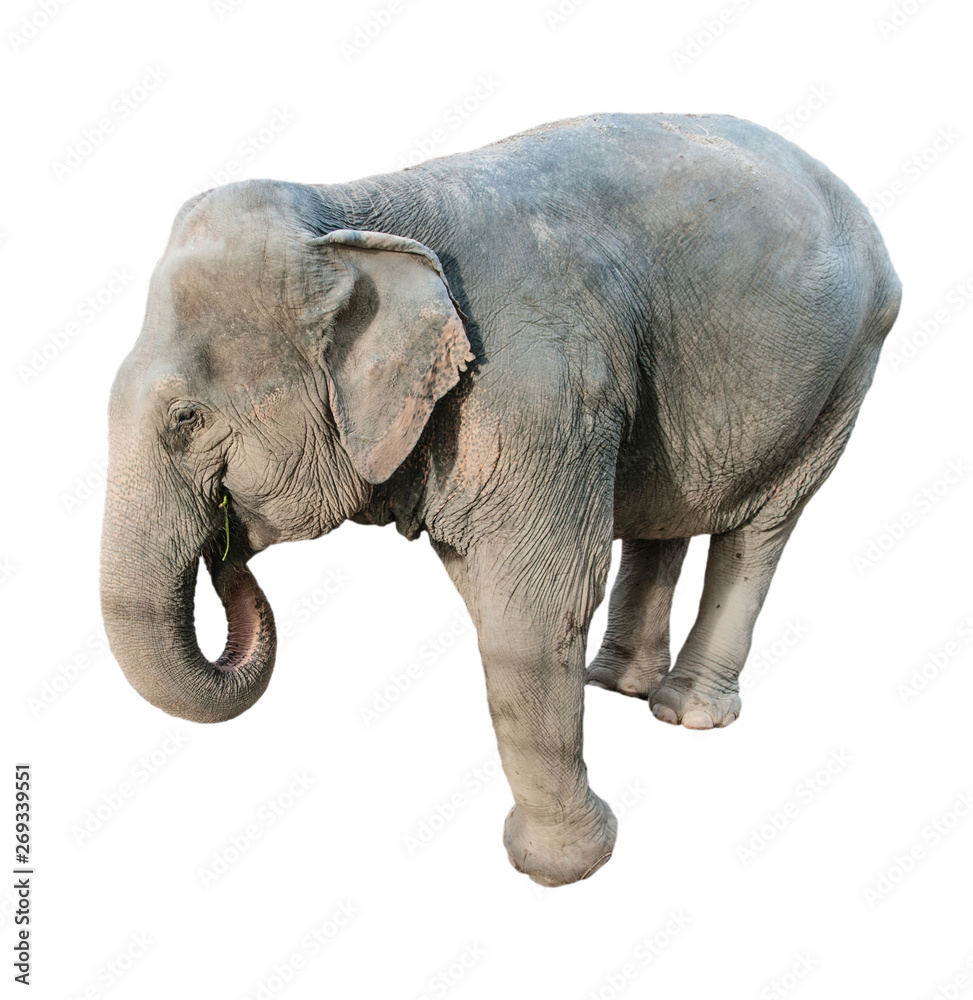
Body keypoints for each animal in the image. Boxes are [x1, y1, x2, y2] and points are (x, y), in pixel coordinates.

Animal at [101, 112, 901, 886]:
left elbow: (536, 603)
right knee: (660, 513)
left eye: (186, 419)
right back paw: (615, 684)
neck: (352, 208)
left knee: (762, 530)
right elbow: (488, 590)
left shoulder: (537, 388)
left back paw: (686, 712)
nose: (226, 545)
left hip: (846, 372)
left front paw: (561, 867)